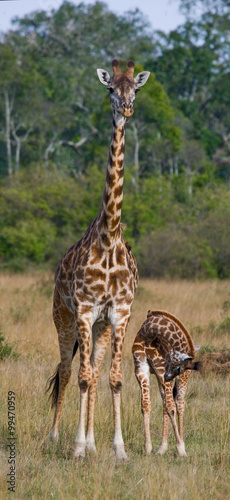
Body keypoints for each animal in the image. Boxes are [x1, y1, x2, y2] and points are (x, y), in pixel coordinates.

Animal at [47, 59, 150, 460]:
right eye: (109, 89)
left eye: (134, 89)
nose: (126, 109)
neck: (108, 238)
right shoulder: (85, 309)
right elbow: (80, 377)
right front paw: (76, 447)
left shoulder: (118, 313)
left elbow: (114, 379)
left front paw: (118, 449)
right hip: (64, 317)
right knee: (66, 369)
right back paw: (56, 438)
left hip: (99, 327)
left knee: (92, 369)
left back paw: (92, 441)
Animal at [132, 310, 200, 458]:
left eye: (178, 367)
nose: (168, 376)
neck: (148, 333)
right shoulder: (141, 369)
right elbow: (146, 405)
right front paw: (147, 447)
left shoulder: (162, 369)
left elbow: (171, 407)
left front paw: (180, 449)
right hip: (161, 378)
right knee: (165, 404)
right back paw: (162, 448)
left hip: (180, 379)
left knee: (179, 403)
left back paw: (181, 443)